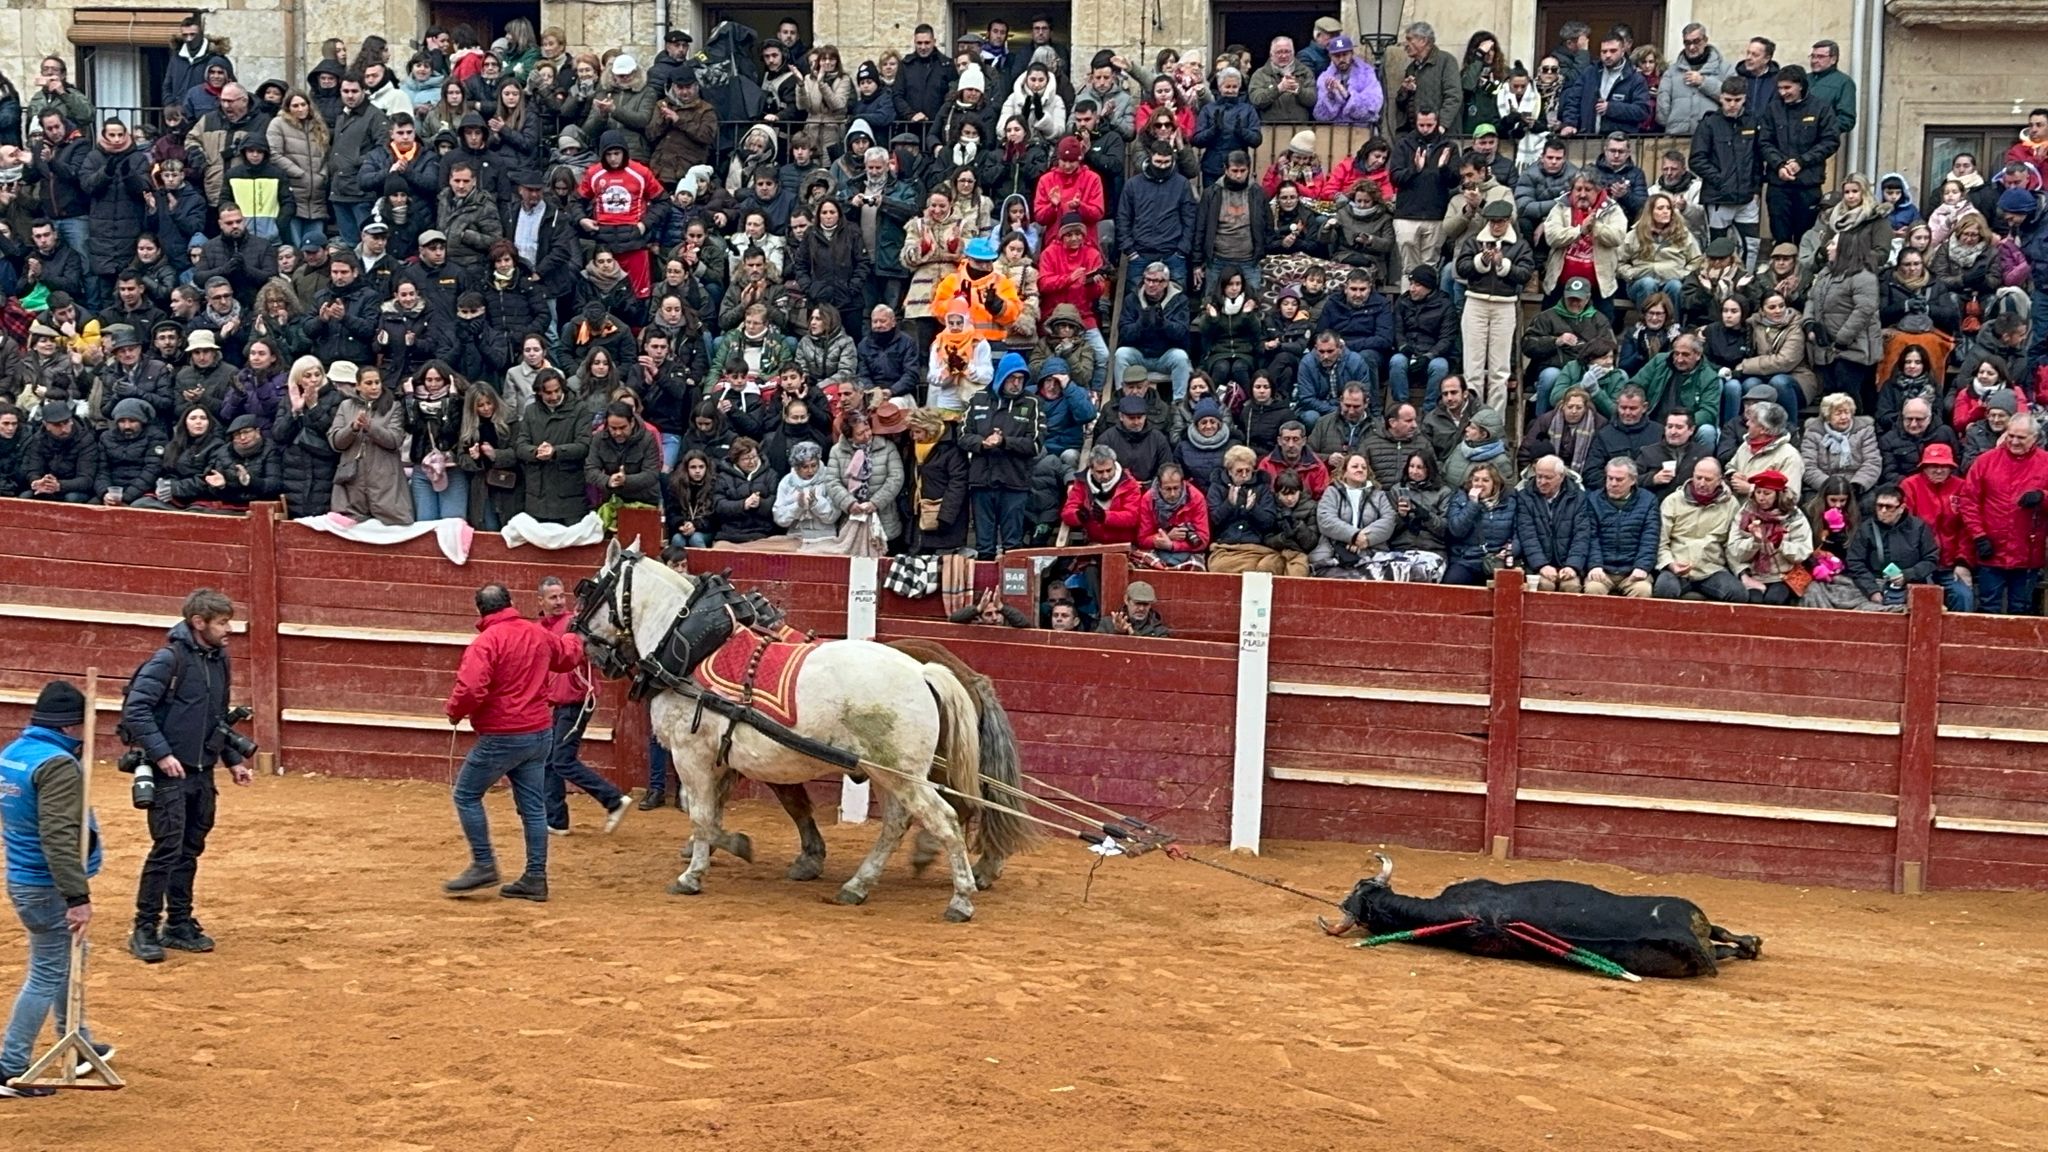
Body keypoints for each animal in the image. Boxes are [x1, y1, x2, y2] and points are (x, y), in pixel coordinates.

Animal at [573, 541, 1032, 918]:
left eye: (589, 588)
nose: (591, 650)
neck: (693, 651)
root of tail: (924, 671)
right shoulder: (725, 759)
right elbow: (713, 810)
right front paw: (728, 850)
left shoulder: (693, 756)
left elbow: (702, 813)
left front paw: (699, 870)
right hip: (890, 774)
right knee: (899, 823)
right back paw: (859, 885)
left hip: (904, 773)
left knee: (948, 818)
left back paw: (961, 896)